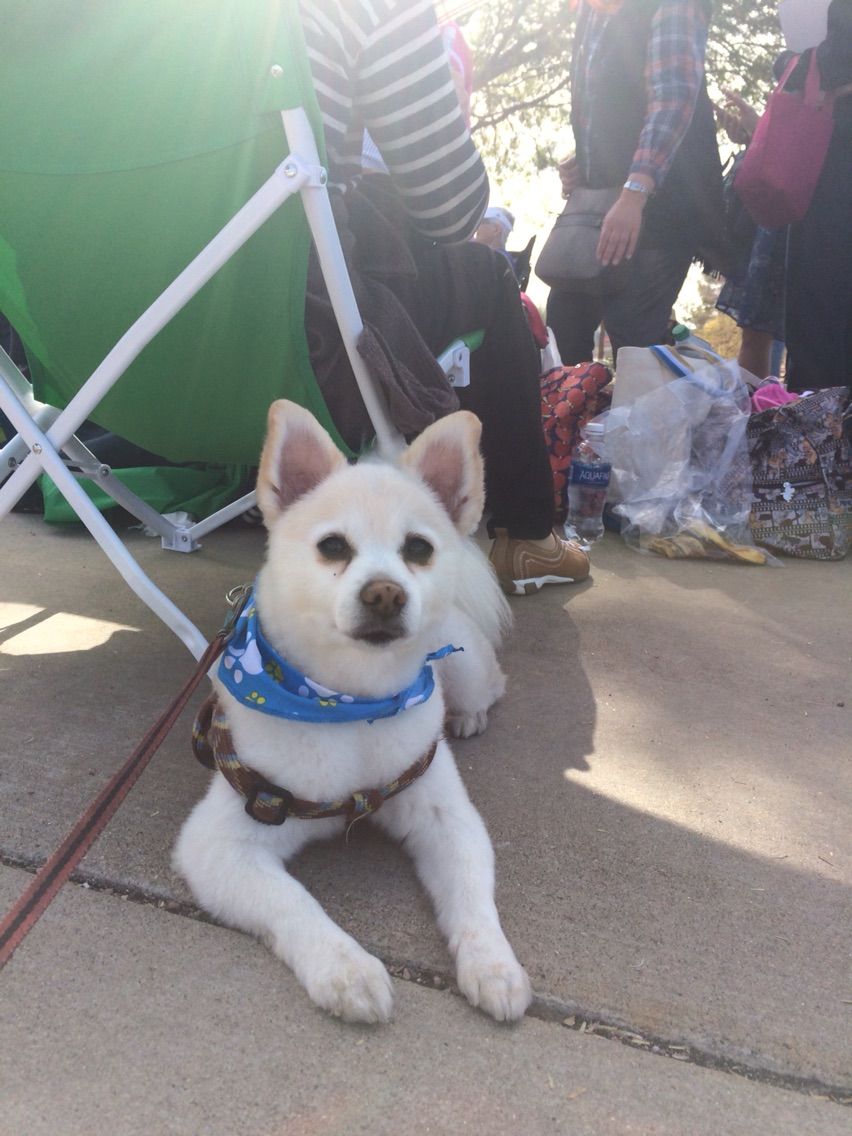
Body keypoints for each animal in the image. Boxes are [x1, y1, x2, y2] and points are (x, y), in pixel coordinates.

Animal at [173, 400, 532, 1024]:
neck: (350, 705)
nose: (385, 592)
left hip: (462, 666)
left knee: (489, 688)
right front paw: (345, 969)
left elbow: (473, 900)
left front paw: (493, 965)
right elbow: (294, 903)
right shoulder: (222, 843)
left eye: (418, 548)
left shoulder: (447, 817)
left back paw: (466, 717)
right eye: (333, 547)